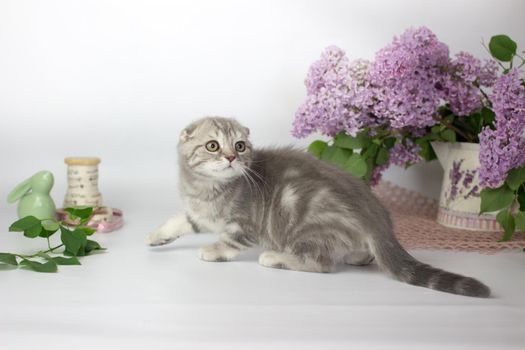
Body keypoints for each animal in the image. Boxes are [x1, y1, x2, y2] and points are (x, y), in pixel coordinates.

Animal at [145, 117, 490, 298]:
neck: (206, 189)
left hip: (307, 223)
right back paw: (360, 256)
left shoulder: (243, 223)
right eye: (213, 145)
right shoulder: (201, 214)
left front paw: (213, 251)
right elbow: (181, 220)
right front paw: (157, 236)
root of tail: (377, 221)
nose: (231, 157)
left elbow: (230, 242)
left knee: (321, 263)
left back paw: (276, 258)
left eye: (240, 146)